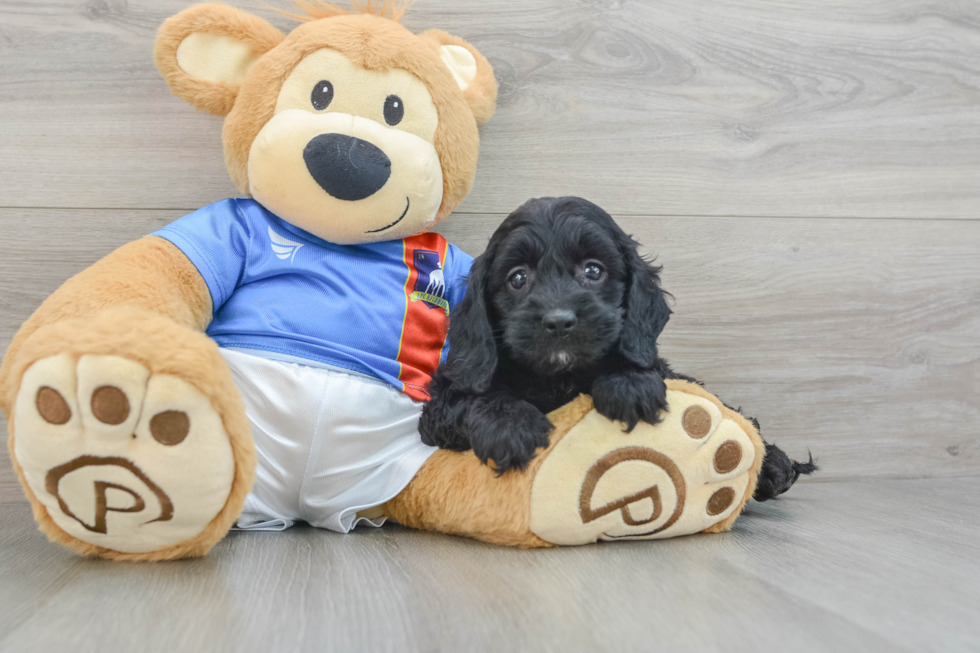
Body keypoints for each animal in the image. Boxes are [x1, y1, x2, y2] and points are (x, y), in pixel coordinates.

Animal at [422, 196, 812, 496]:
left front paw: (629, 387)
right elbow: (470, 397)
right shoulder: (444, 400)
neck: (558, 377)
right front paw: (509, 426)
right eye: (518, 278)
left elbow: (640, 365)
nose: (559, 321)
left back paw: (775, 466)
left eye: (593, 271)